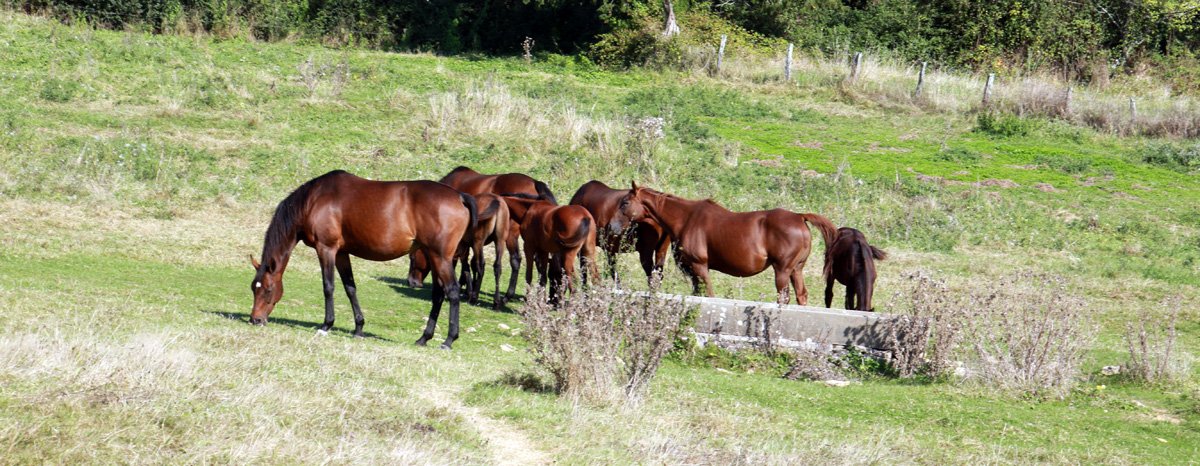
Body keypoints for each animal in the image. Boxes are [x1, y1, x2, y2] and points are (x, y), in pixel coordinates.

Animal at [249, 170, 476, 350]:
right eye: (254, 288)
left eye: (268, 289)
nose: (255, 319)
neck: (314, 200)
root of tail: (459, 196)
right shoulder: (341, 253)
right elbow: (350, 288)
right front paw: (359, 328)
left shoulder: (326, 249)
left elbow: (328, 287)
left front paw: (326, 325)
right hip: (433, 256)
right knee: (438, 294)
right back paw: (423, 338)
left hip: (441, 257)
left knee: (452, 292)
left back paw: (448, 340)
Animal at [436, 166, 558, 302]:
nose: (555, 300)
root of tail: (534, 182)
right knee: (537, 262)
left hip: (510, 236)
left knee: (516, 259)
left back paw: (507, 295)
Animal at [617, 182, 837, 305]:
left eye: (625, 203)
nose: (613, 225)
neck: (686, 218)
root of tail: (800, 217)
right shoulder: (694, 271)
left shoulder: (700, 266)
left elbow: (709, 294)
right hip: (796, 269)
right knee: (801, 295)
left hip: (782, 270)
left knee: (783, 297)